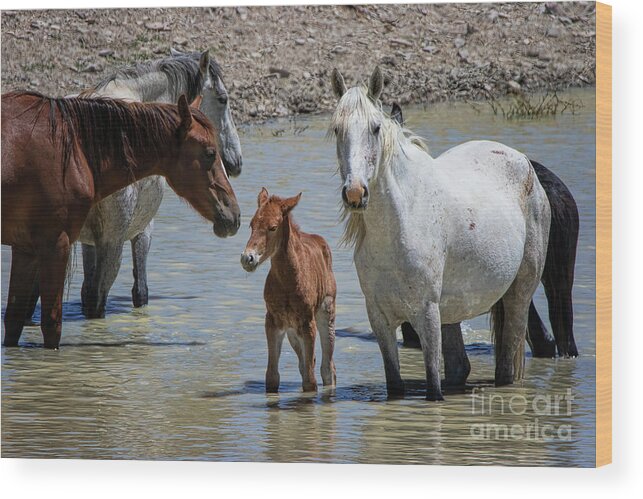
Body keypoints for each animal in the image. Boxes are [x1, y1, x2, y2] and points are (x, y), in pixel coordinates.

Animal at [1, 91, 242, 348]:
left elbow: (14, 322)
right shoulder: (56, 243)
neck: (73, 149)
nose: (234, 214)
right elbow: (52, 323)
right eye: (210, 153)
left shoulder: (25, 248)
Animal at [242, 189, 340, 392]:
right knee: (306, 363)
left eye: (273, 227)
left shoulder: (308, 323)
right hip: (293, 332)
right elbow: (272, 377)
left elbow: (310, 382)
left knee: (327, 368)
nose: (247, 258)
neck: (287, 282)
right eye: (251, 224)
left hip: (326, 313)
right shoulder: (272, 321)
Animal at [330, 68, 552, 400]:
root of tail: (525, 163)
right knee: (460, 365)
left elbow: (434, 388)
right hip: (453, 310)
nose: (355, 193)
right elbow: (395, 385)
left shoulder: (427, 313)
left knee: (506, 367)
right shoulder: (379, 319)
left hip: (519, 294)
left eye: (376, 128)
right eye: (336, 129)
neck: (398, 227)